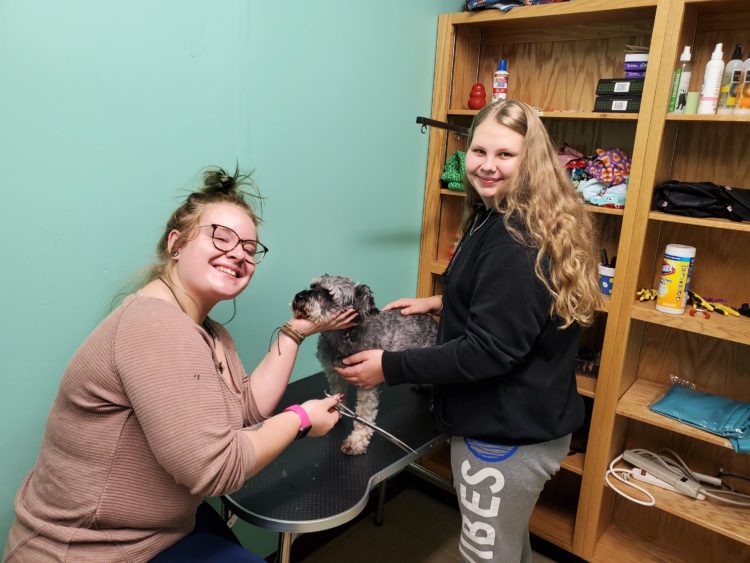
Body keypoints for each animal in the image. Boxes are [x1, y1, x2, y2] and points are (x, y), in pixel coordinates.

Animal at [290, 276, 438, 456]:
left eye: (328, 294)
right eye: (313, 286)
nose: (298, 297)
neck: (340, 338)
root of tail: (432, 322)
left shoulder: (367, 384)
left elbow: (364, 415)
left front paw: (356, 441)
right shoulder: (334, 374)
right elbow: (337, 393)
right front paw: (335, 410)